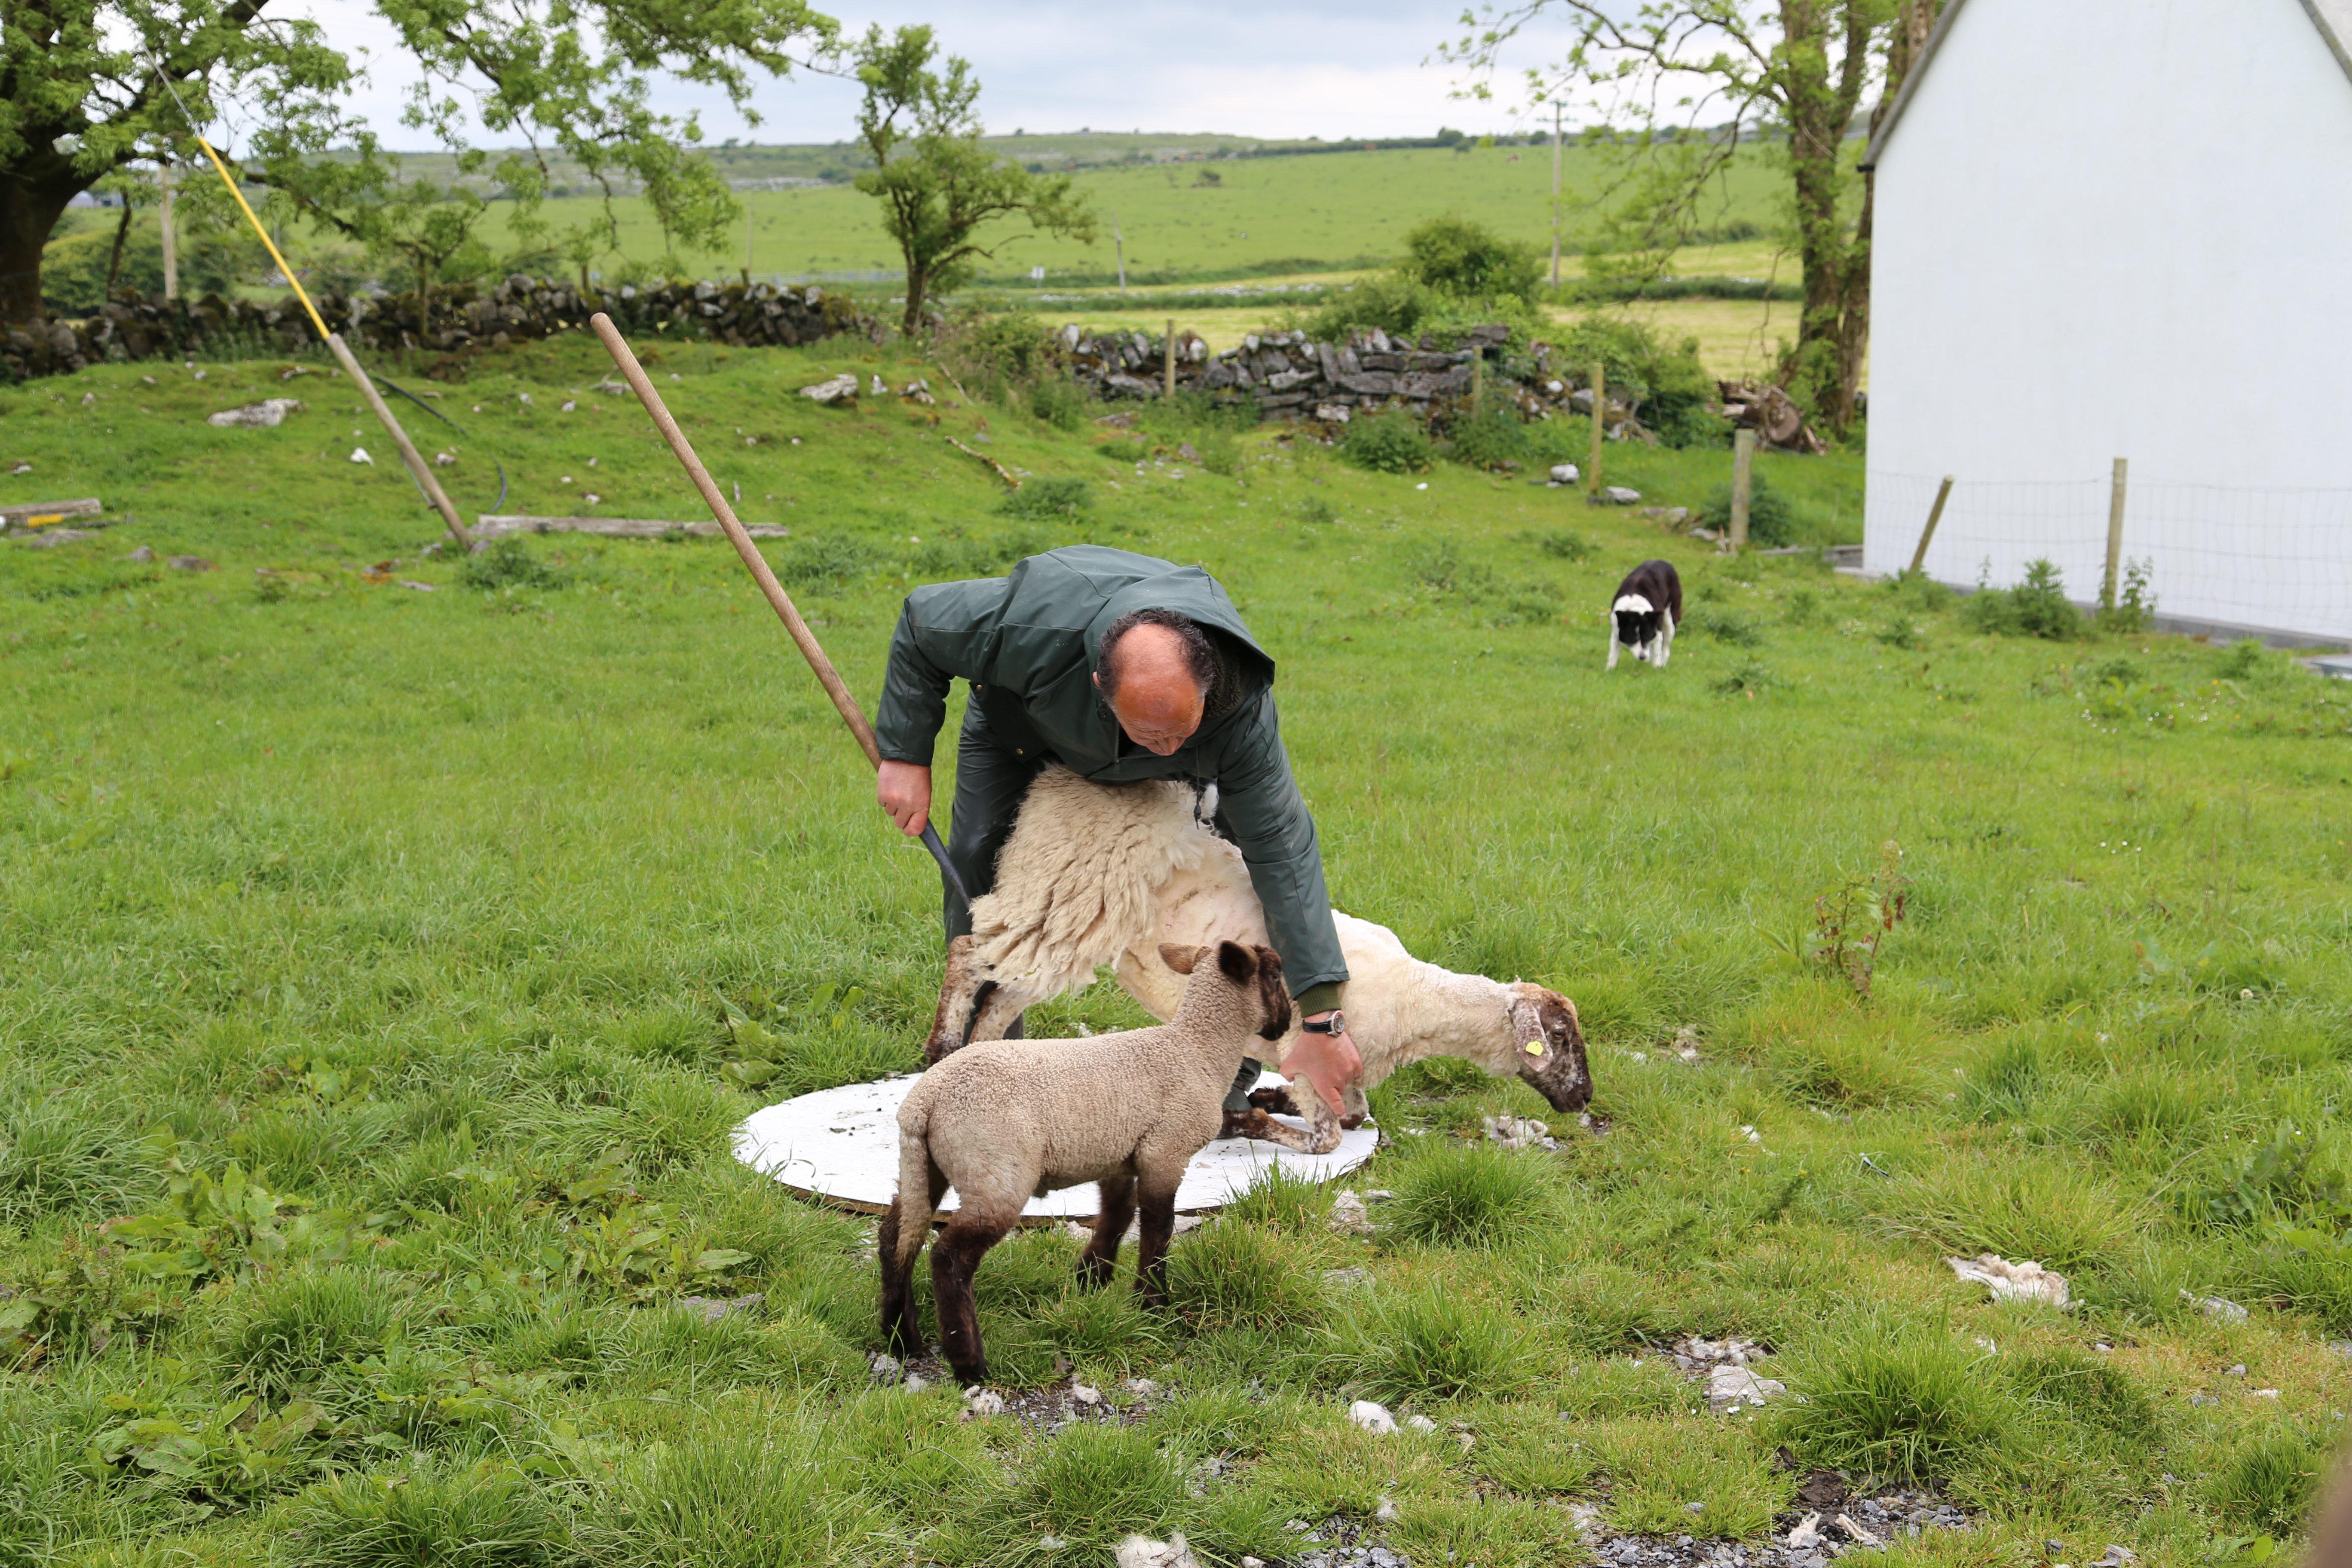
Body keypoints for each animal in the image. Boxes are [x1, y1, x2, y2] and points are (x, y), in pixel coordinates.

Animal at [884, 940, 1298, 1382]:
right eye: (1276, 975)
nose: (1286, 1023)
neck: (1196, 1050)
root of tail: (925, 1101)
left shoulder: (1119, 1158)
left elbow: (1117, 1216)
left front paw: (1091, 1280)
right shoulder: (1165, 1151)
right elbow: (1158, 1227)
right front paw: (1153, 1303)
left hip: (923, 1167)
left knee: (896, 1239)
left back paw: (901, 1339)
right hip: (994, 1172)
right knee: (949, 1258)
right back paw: (970, 1364)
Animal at [926, 771, 1590, 1152]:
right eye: (1558, 1035)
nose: (1585, 1099)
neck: (1416, 1002)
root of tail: (1064, 785)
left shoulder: (1336, 1076)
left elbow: (1354, 1118)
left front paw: (1264, 1101)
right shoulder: (1312, 1059)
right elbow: (1327, 1139)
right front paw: (1244, 1123)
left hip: (1065, 921)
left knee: (1003, 992)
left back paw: (977, 1058)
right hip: (1063, 895)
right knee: (968, 952)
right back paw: (942, 1046)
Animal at [1608, 557, 1684, 668]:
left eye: (1647, 636)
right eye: (1632, 638)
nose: (1642, 657)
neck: (1635, 607)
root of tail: (1664, 561)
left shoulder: (1657, 631)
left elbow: (1657, 652)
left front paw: (1656, 668)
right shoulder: (1617, 631)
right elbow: (1613, 654)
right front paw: (1610, 669)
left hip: (1670, 619)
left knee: (1666, 647)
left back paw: (1663, 664)